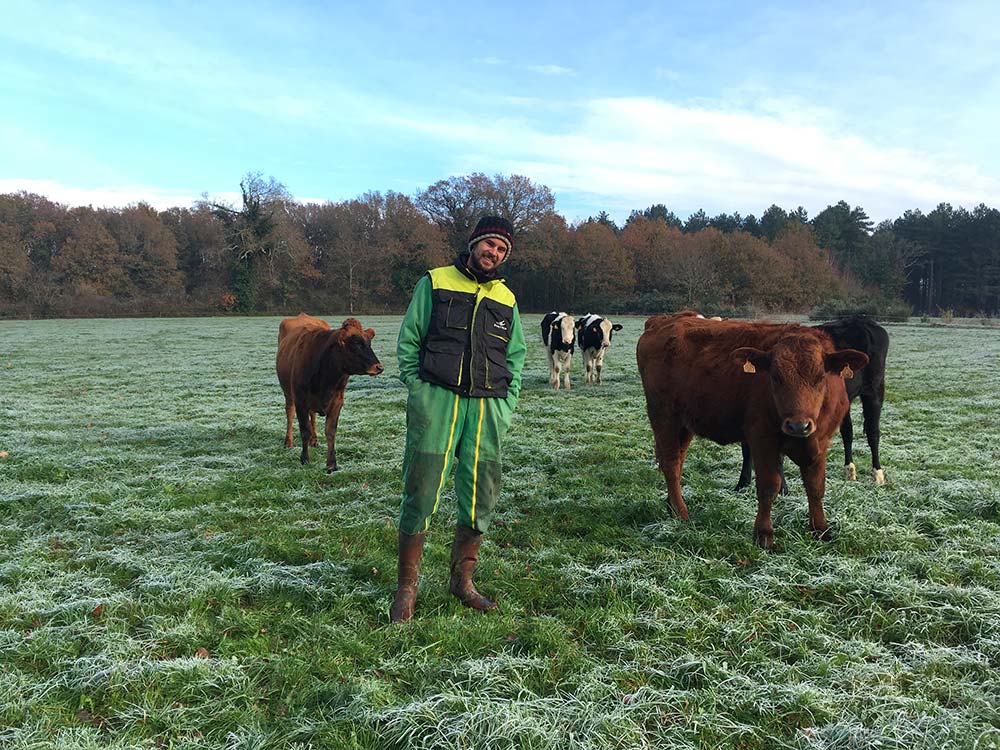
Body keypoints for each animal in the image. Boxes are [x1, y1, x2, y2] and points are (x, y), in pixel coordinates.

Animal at [276, 314, 384, 472]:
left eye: (369, 343)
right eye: (356, 344)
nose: (379, 367)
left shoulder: (337, 401)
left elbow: (330, 431)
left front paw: (332, 463)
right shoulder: (300, 400)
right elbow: (304, 430)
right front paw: (305, 459)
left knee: (313, 416)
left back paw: (314, 440)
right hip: (288, 393)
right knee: (290, 414)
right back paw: (288, 442)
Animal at [640, 312, 868, 552]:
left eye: (820, 377)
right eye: (776, 377)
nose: (798, 426)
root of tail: (666, 319)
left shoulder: (820, 443)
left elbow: (815, 486)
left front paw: (821, 529)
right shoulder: (762, 440)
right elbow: (769, 487)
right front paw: (764, 534)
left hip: (684, 423)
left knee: (678, 459)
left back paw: (671, 505)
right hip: (663, 416)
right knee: (670, 463)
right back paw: (681, 511)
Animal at [736, 314, 892, 490]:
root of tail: (863, 321)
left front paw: (782, 488)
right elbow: (747, 447)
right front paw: (743, 483)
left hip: (875, 390)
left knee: (873, 432)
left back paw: (877, 473)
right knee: (848, 431)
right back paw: (849, 470)